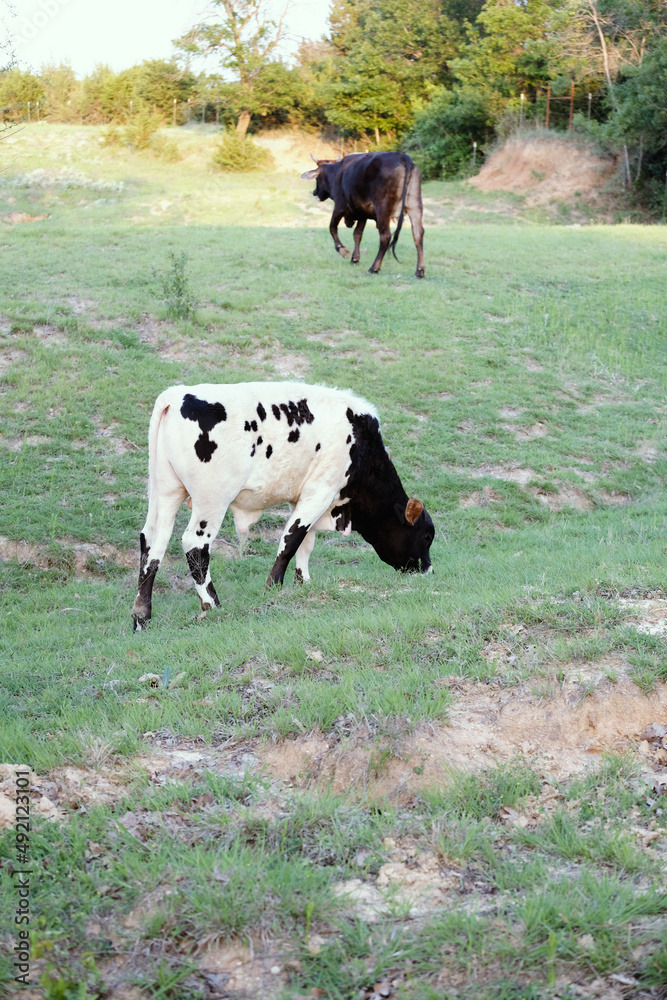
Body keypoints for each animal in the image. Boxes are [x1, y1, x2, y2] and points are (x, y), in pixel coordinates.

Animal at [131, 381, 434, 630]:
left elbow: (305, 542)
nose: (428, 570)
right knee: (194, 544)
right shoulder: (320, 491)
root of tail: (174, 396)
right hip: (211, 499)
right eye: (426, 536)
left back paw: (141, 616)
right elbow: (292, 539)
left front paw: (303, 583)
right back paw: (213, 605)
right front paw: (274, 587)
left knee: (152, 543)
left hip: (165, 493)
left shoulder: (302, 498)